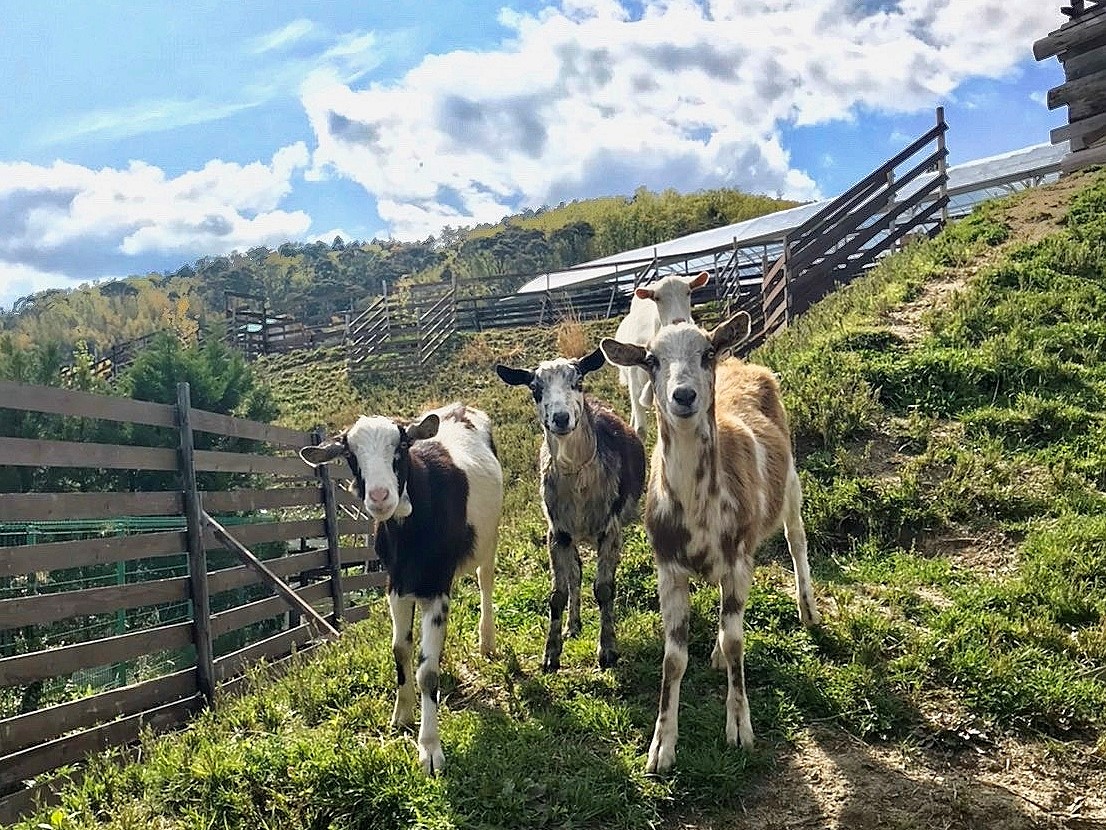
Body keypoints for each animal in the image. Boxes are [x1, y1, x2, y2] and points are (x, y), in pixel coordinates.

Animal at [299, 403, 503, 775]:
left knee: (485, 581)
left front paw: (430, 748)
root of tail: (460, 408)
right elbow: (400, 650)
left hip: (489, 537)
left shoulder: (436, 586)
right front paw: (403, 714)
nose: (380, 497)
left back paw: (487, 640)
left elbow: (428, 672)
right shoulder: (396, 585)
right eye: (350, 454)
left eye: (402, 446)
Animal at [496, 347, 646, 671]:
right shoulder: (557, 532)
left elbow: (604, 589)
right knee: (575, 573)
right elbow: (558, 593)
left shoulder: (610, 530)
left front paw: (607, 650)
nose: (561, 418)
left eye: (578, 381)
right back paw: (573, 625)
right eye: (535, 390)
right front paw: (551, 654)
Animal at [601, 314, 820, 773]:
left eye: (706, 353)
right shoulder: (668, 568)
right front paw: (661, 747)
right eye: (651, 359)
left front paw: (739, 728)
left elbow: (738, 642)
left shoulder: (738, 559)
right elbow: (674, 658)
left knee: (796, 539)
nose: (684, 395)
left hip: (790, 484)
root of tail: (742, 362)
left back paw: (808, 609)